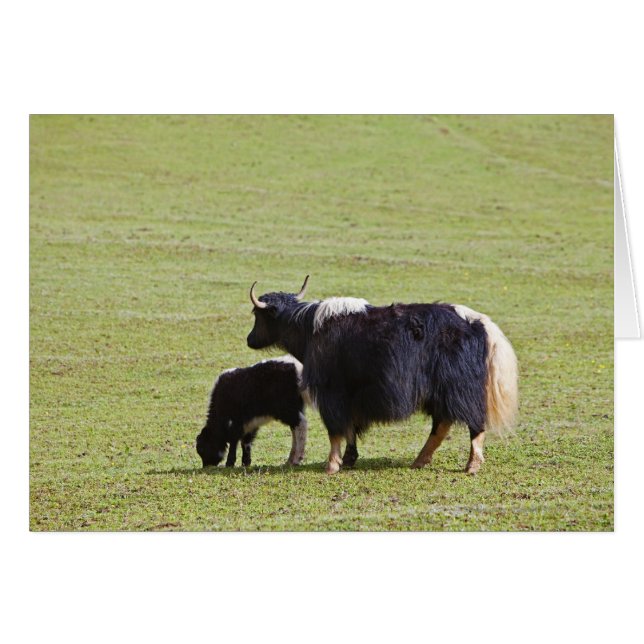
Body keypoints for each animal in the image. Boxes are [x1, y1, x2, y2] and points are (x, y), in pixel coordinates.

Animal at [246, 276, 518, 474]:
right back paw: (420, 461)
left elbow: (335, 428)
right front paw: (349, 459)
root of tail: (479, 322)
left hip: (460, 387)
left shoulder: (331, 392)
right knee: (442, 423)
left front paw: (332, 465)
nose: (249, 340)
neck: (309, 329)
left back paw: (471, 465)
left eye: (256, 315)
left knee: (472, 422)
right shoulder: (351, 395)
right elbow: (350, 427)